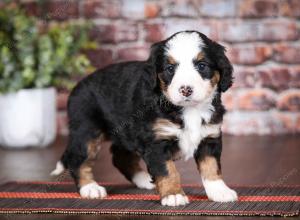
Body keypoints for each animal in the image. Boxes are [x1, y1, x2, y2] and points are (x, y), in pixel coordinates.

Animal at [52, 30, 239, 206]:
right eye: (170, 68)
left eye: (201, 65)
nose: (185, 89)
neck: (189, 109)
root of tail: (77, 86)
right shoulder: (156, 142)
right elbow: (167, 170)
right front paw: (173, 195)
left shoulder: (209, 137)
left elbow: (211, 167)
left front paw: (220, 191)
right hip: (87, 131)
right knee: (78, 160)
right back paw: (90, 188)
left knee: (120, 157)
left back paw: (143, 180)